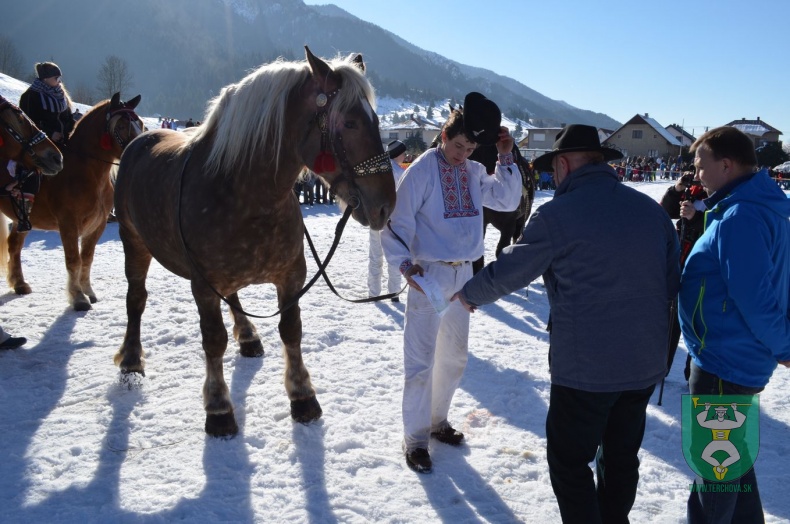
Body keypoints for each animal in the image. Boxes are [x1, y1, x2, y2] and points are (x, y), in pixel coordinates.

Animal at [0, 93, 144, 312]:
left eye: (140, 124)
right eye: (120, 126)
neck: (85, 173)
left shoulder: (97, 225)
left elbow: (87, 258)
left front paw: (88, 291)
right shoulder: (68, 223)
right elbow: (73, 260)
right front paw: (78, 297)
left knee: (14, 245)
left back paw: (19, 283)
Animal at [113, 47, 396, 436]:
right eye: (350, 123)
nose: (385, 205)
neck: (246, 194)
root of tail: (138, 140)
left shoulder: (291, 277)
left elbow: (291, 330)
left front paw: (302, 396)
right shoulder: (203, 286)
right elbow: (213, 340)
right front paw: (218, 408)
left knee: (232, 295)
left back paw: (247, 335)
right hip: (133, 241)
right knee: (136, 298)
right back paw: (130, 359)